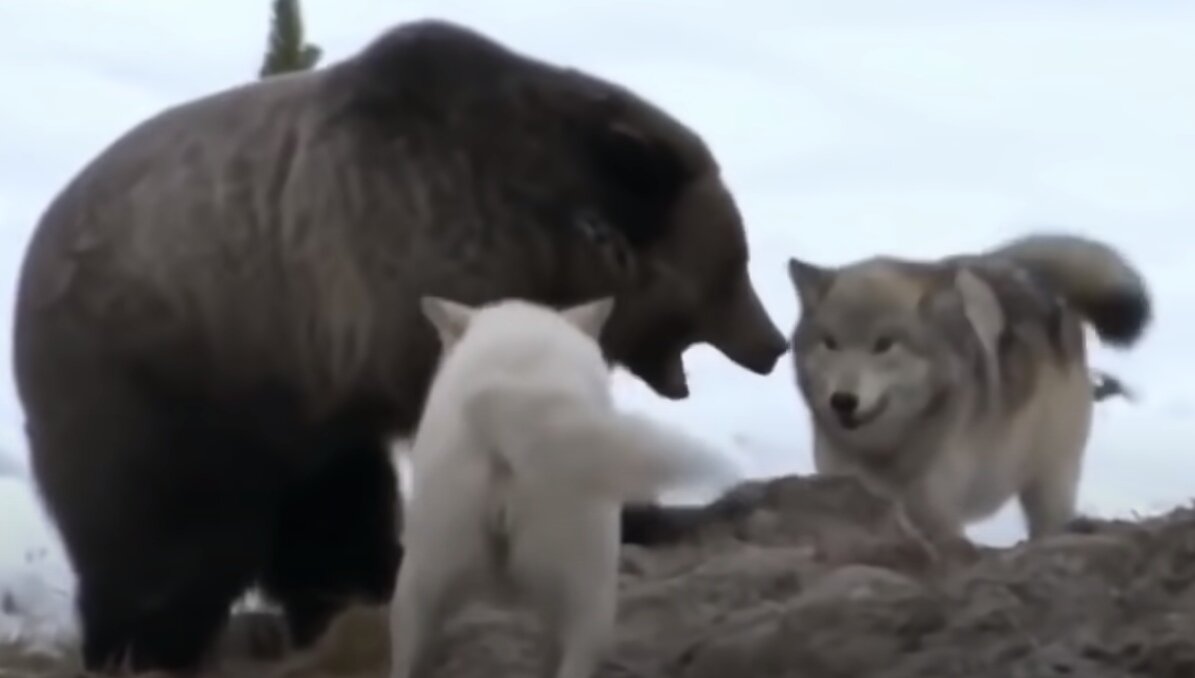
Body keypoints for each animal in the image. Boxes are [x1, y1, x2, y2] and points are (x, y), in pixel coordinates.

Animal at [788, 231, 1151, 547]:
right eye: (830, 343)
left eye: (884, 344)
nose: (842, 401)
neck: (885, 452)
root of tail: (1021, 269)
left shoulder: (942, 518)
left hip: (1049, 485)